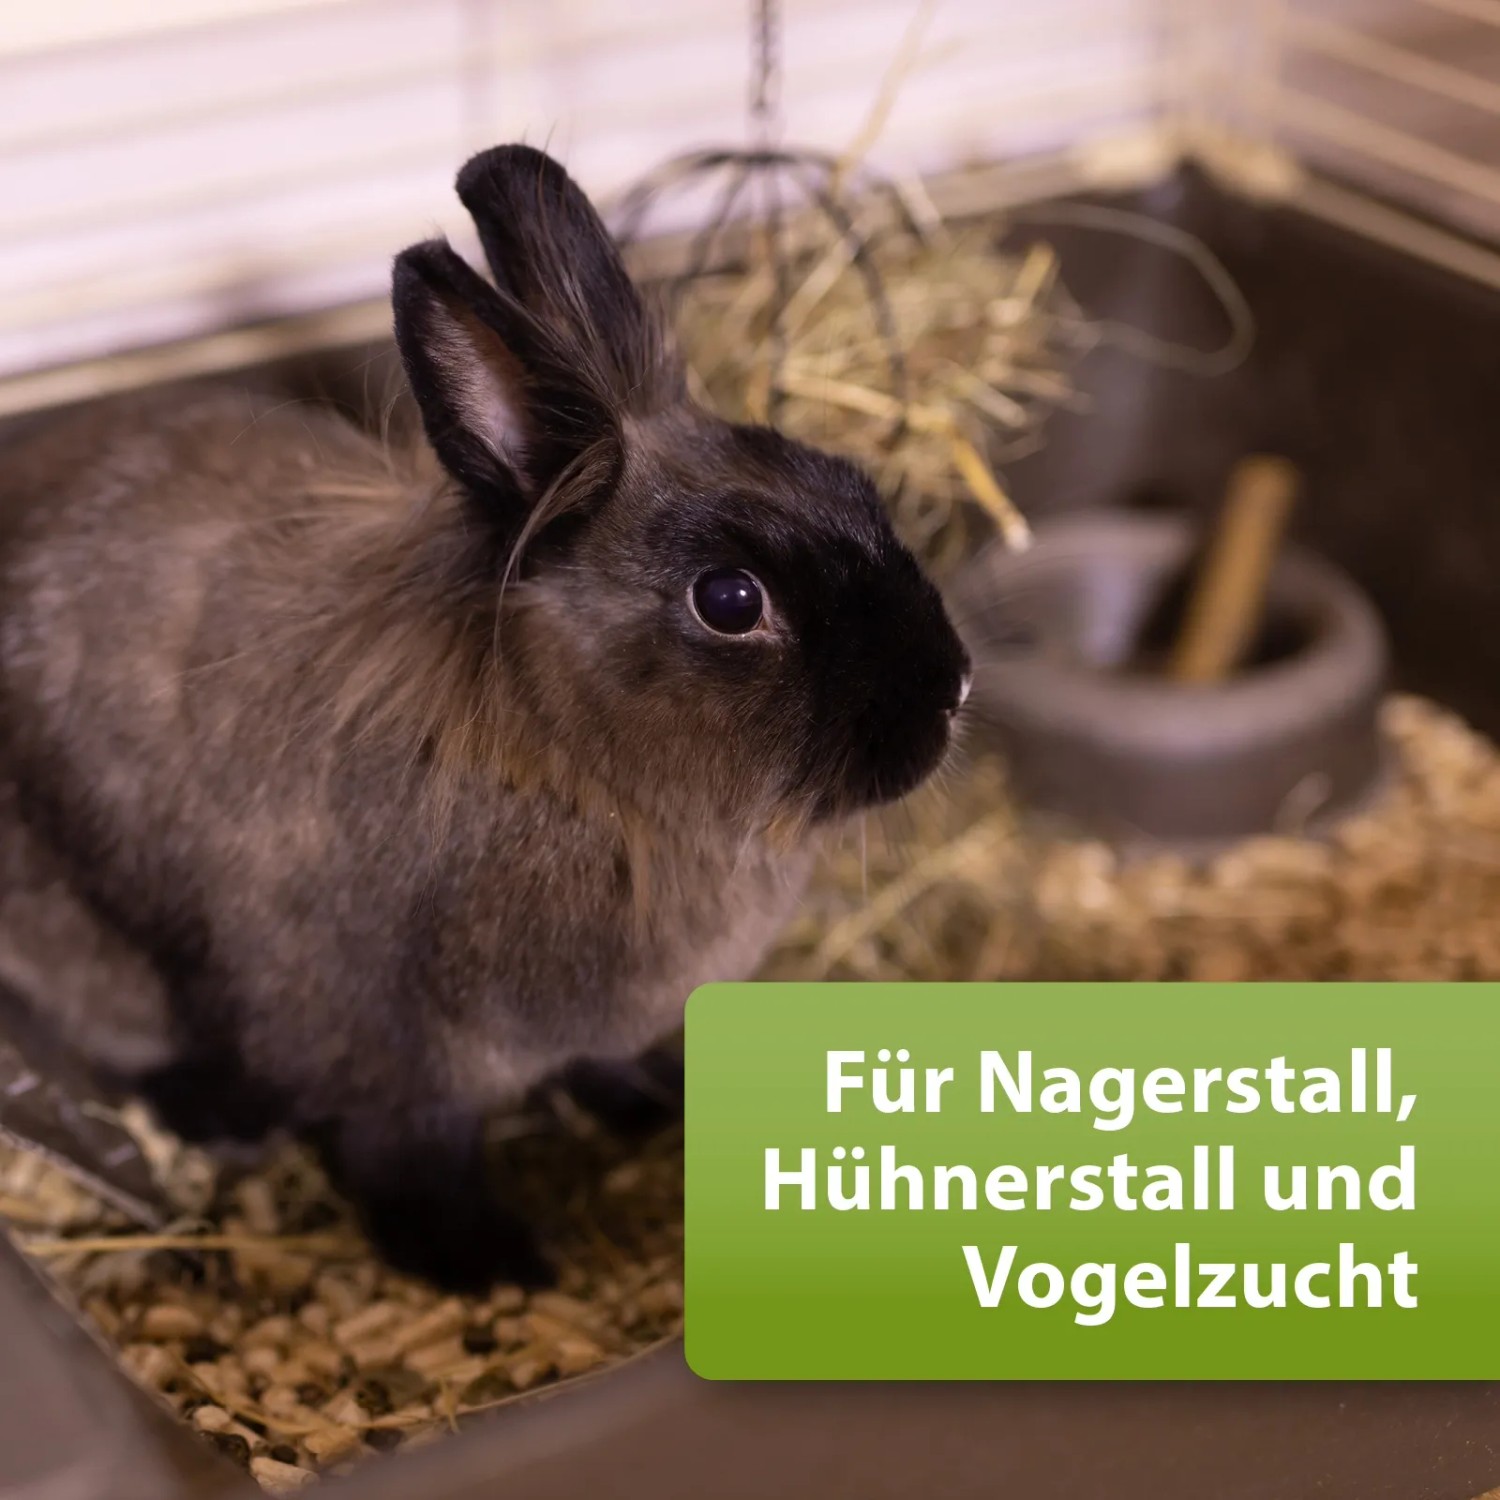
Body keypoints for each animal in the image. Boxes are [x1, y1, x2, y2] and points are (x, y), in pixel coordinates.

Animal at [0, 145, 970, 1291]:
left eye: (852, 483)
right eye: (731, 601)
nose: (953, 687)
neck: (580, 778)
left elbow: (604, 1066)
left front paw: (656, 1103)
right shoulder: (380, 1055)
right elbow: (414, 1160)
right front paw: (494, 1266)